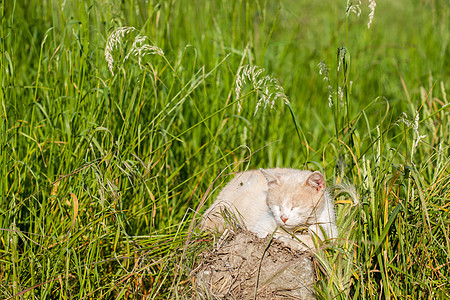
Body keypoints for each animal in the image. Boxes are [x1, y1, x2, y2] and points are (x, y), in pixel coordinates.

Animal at [200, 168, 338, 250]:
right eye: (277, 206)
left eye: (295, 206)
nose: (283, 218)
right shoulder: (261, 228)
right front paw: (284, 238)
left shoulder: (330, 231)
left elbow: (315, 241)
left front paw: (291, 241)